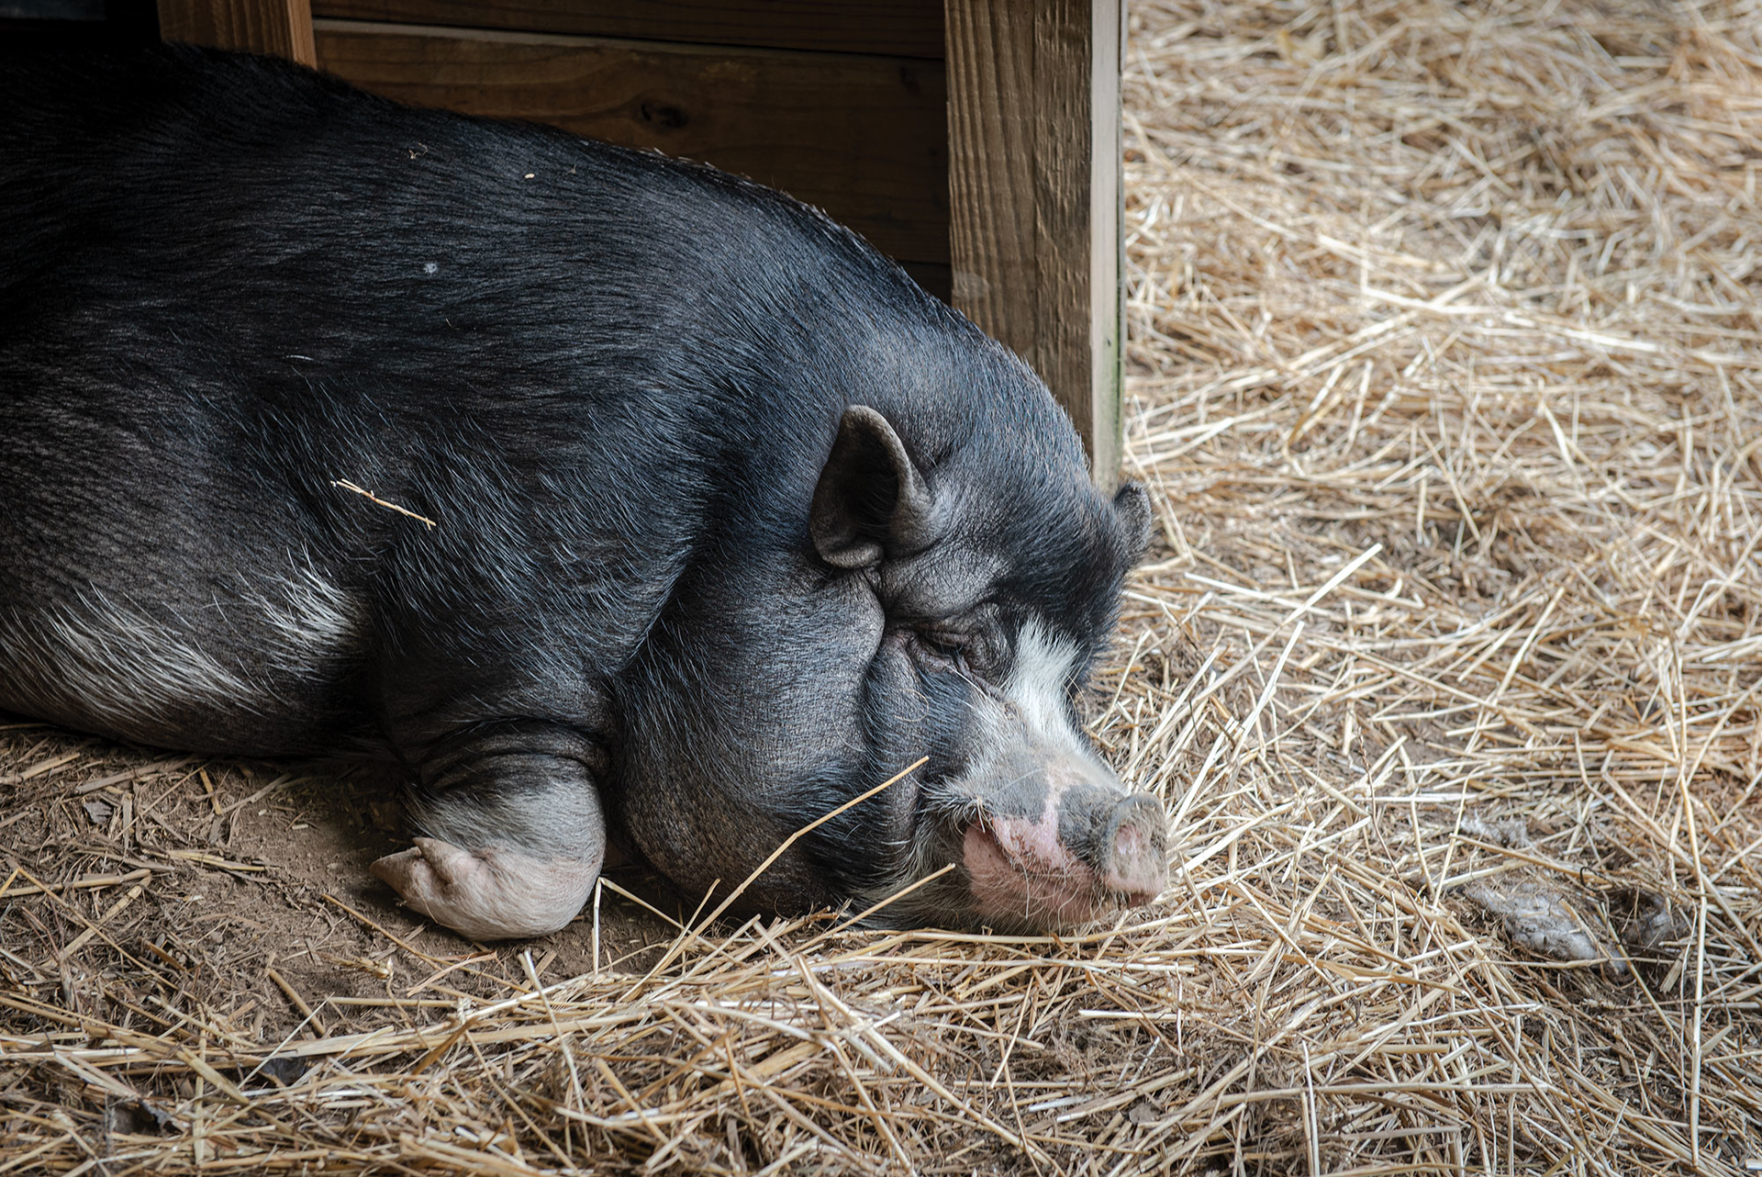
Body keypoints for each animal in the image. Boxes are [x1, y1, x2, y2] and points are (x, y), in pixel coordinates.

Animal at [0, 44, 1167, 939]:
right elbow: (551, 832)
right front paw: (404, 872)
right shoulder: (492, 599)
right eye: (953, 645)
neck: (727, 508)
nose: (1139, 823)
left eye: (1077, 679)